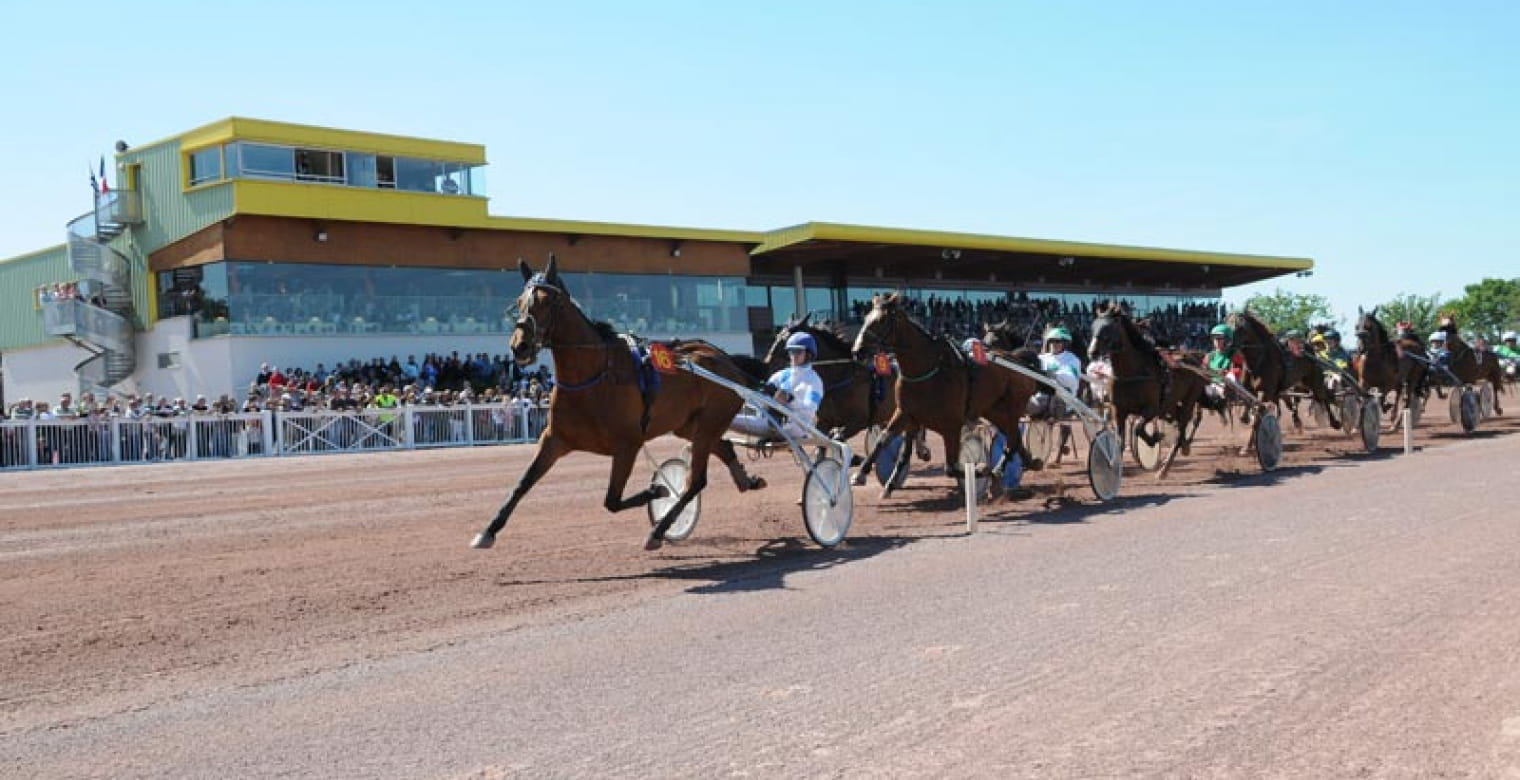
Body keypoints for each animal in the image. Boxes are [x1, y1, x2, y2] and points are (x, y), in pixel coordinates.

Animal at [465, 252, 772, 550]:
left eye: (547, 301)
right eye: (519, 302)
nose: (520, 347)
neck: (593, 377)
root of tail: (727, 360)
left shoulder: (628, 444)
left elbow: (611, 501)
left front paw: (658, 490)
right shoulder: (554, 438)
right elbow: (522, 483)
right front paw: (488, 531)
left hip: (710, 421)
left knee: (695, 480)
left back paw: (659, 530)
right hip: (689, 425)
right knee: (723, 447)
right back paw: (746, 480)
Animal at [851, 291, 1039, 492]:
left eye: (882, 320)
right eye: (865, 318)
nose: (857, 351)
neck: (927, 370)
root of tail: (1017, 360)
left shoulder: (952, 425)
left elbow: (951, 467)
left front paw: (980, 469)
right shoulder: (906, 413)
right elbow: (883, 440)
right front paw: (862, 474)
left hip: (1013, 409)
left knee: (1012, 440)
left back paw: (999, 469)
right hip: (994, 411)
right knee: (1015, 439)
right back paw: (1024, 463)